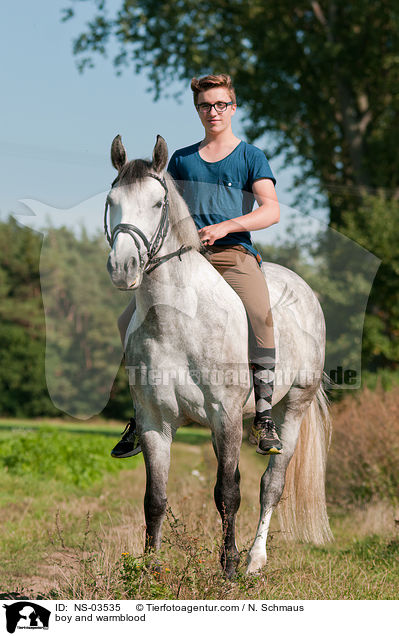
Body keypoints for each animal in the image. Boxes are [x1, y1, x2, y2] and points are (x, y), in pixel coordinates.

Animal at [104, 135, 332, 580]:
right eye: (111, 201)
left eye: (157, 204)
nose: (123, 268)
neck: (177, 320)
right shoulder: (155, 420)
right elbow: (154, 497)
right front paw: (149, 570)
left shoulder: (224, 416)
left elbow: (228, 491)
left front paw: (227, 567)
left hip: (293, 408)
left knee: (271, 485)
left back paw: (254, 561)